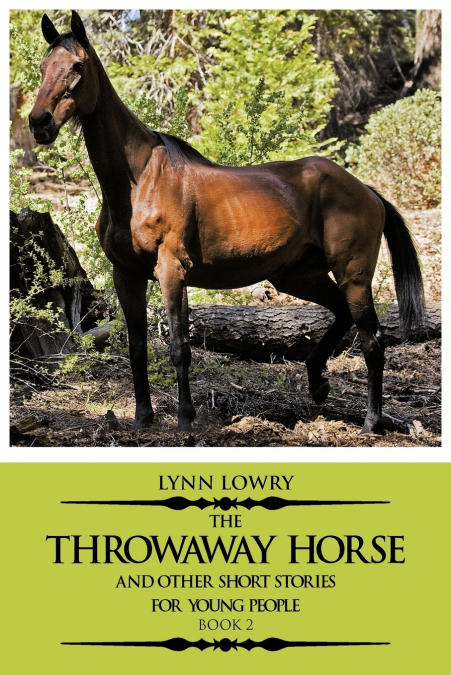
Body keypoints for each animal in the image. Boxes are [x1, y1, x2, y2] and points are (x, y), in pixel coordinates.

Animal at [29, 12, 425, 435]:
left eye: (77, 66)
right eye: (43, 67)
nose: (39, 122)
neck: (139, 181)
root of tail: (367, 190)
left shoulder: (172, 271)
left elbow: (179, 347)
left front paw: (185, 421)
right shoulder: (127, 275)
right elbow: (137, 348)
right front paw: (142, 419)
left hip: (353, 275)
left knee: (372, 341)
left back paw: (370, 421)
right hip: (297, 276)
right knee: (340, 314)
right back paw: (317, 382)